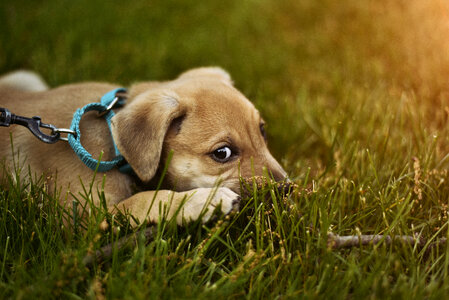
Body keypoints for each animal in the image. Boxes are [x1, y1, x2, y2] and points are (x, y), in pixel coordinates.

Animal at [0, 68, 286, 226]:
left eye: (262, 130)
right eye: (222, 153)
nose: (286, 189)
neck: (114, 147)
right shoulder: (83, 220)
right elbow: (144, 199)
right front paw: (204, 200)